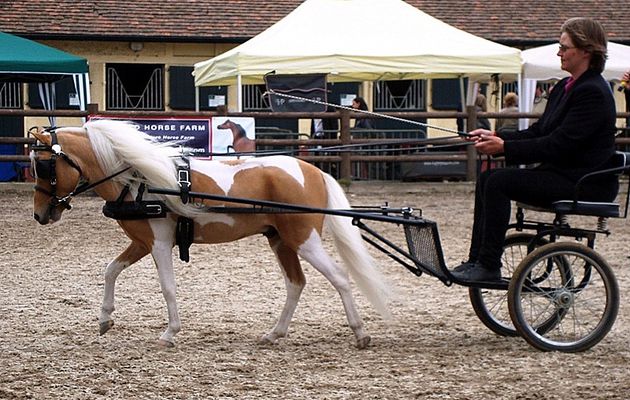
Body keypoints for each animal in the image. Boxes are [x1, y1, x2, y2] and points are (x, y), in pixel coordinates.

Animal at [33, 119, 396, 346]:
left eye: (46, 166)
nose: (39, 214)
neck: (140, 180)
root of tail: (314, 171)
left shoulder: (159, 244)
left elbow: (167, 287)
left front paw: (170, 333)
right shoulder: (142, 242)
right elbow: (110, 271)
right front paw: (105, 319)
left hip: (304, 240)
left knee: (339, 277)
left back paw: (360, 333)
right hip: (280, 240)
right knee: (296, 283)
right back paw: (274, 334)